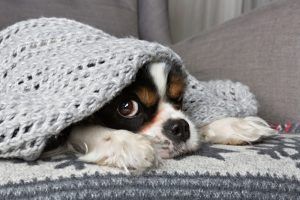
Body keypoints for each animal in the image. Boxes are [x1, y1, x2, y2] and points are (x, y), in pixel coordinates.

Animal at [43, 62, 276, 172]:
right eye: (127, 107)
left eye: (179, 98)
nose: (180, 127)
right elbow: (83, 129)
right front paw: (127, 143)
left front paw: (237, 125)